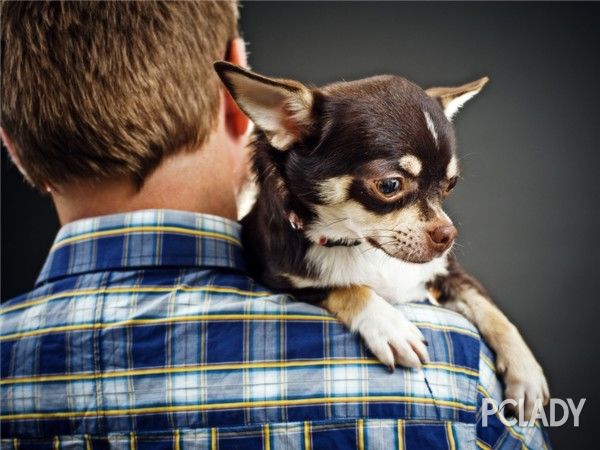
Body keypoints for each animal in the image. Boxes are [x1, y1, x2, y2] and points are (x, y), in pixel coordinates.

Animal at [214, 61, 548, 416]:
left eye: (451, 184)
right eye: (389, 185)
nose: (448, 234)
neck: (361, 247)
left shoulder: (447, 273)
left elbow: (491, 310)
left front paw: (526, 372)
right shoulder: (279, 283)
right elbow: (347, 287)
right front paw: (389, 325)